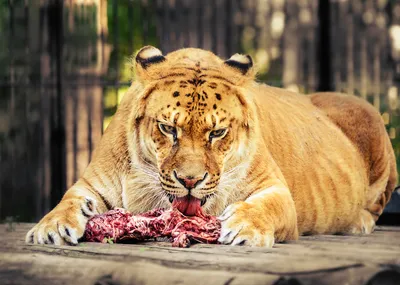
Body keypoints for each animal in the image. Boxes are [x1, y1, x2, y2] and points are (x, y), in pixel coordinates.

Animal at [25, 45, 396, 245]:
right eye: (168, 129)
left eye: (217, 133)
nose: (190, 181)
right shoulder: (92, 183)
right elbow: (68, 202)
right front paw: (51, 227)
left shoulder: (277, 190)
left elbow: (267, 208)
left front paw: (243, 226)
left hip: (369, 120)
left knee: (377, 204)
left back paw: (358, 223)